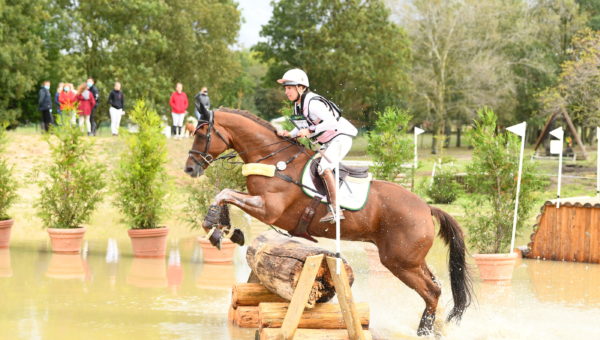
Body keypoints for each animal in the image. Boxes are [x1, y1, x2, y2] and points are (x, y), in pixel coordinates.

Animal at [184, 105, 474, 334]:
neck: (274, 160)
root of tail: (426, 208)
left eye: (201, 134)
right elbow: (225, 195)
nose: (190, 168)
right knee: (436, 286)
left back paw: (423, 331)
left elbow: (224, 193)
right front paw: (225, 229)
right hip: (411, 260)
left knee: (431, 291)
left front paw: (215, 229)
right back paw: (436, 328)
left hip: (399, 261)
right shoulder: (261, 205)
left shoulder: (268, 208)